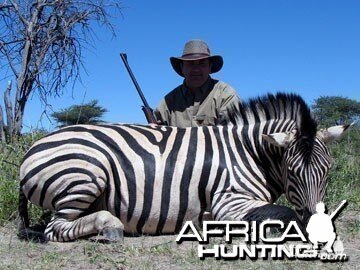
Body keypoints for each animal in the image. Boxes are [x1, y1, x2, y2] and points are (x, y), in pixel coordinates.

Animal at [18, 93, 350, 243]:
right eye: (292, 172)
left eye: (328, 171)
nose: (317, 225)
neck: (249, 152)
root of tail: (31, 149)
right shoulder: (229, 200)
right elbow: (284, 213)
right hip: (86, 175)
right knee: (55, 229)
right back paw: (111, 226)